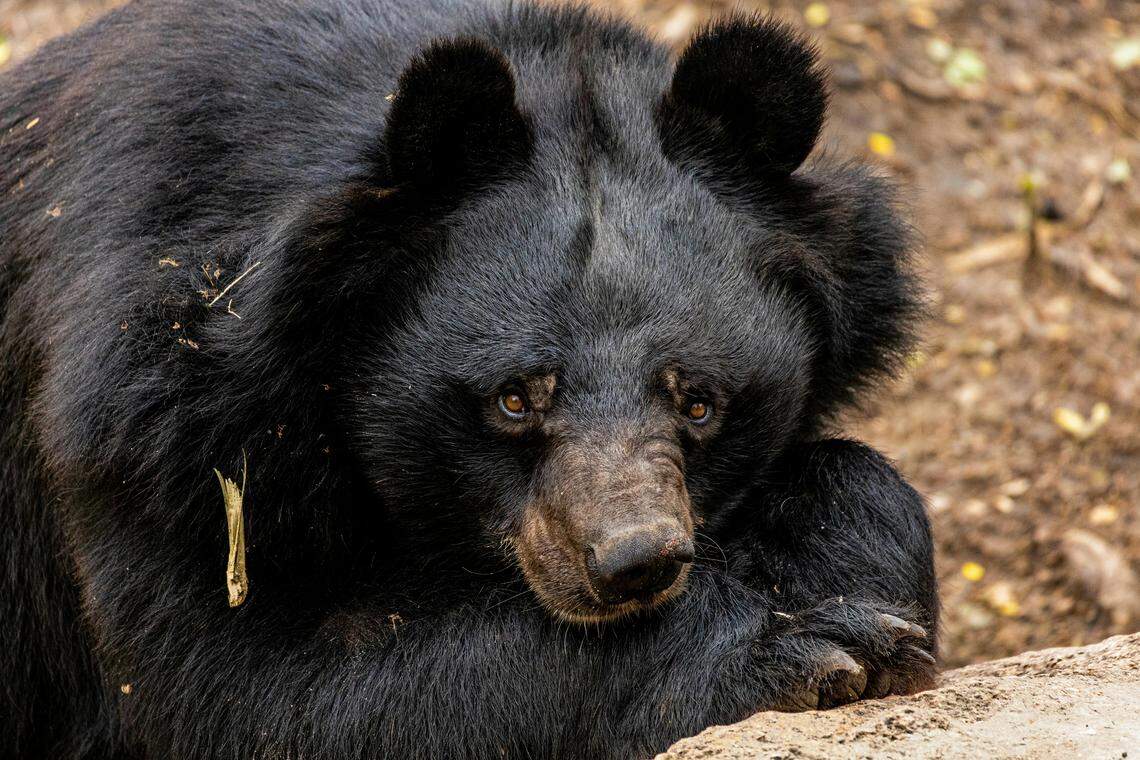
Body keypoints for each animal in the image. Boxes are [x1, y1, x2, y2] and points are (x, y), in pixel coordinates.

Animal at [0, 0, 938, 758]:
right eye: (513, 398)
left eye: (700, 401)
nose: (634, 563)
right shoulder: (152, 426)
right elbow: (254, 698)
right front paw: (811, 645)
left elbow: (862, 483)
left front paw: (864, 597)